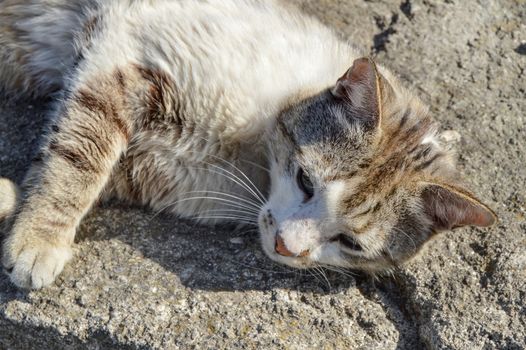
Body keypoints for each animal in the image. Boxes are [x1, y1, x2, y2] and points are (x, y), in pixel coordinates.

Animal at [0, 0, 498, 290]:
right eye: (305, 180)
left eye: (351, 243)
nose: (285, 248)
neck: (251, 157)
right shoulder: (124, 51)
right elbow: (78, 158)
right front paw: (39, 241)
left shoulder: (153, 170)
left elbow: (65, 156)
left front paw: (12, 203)